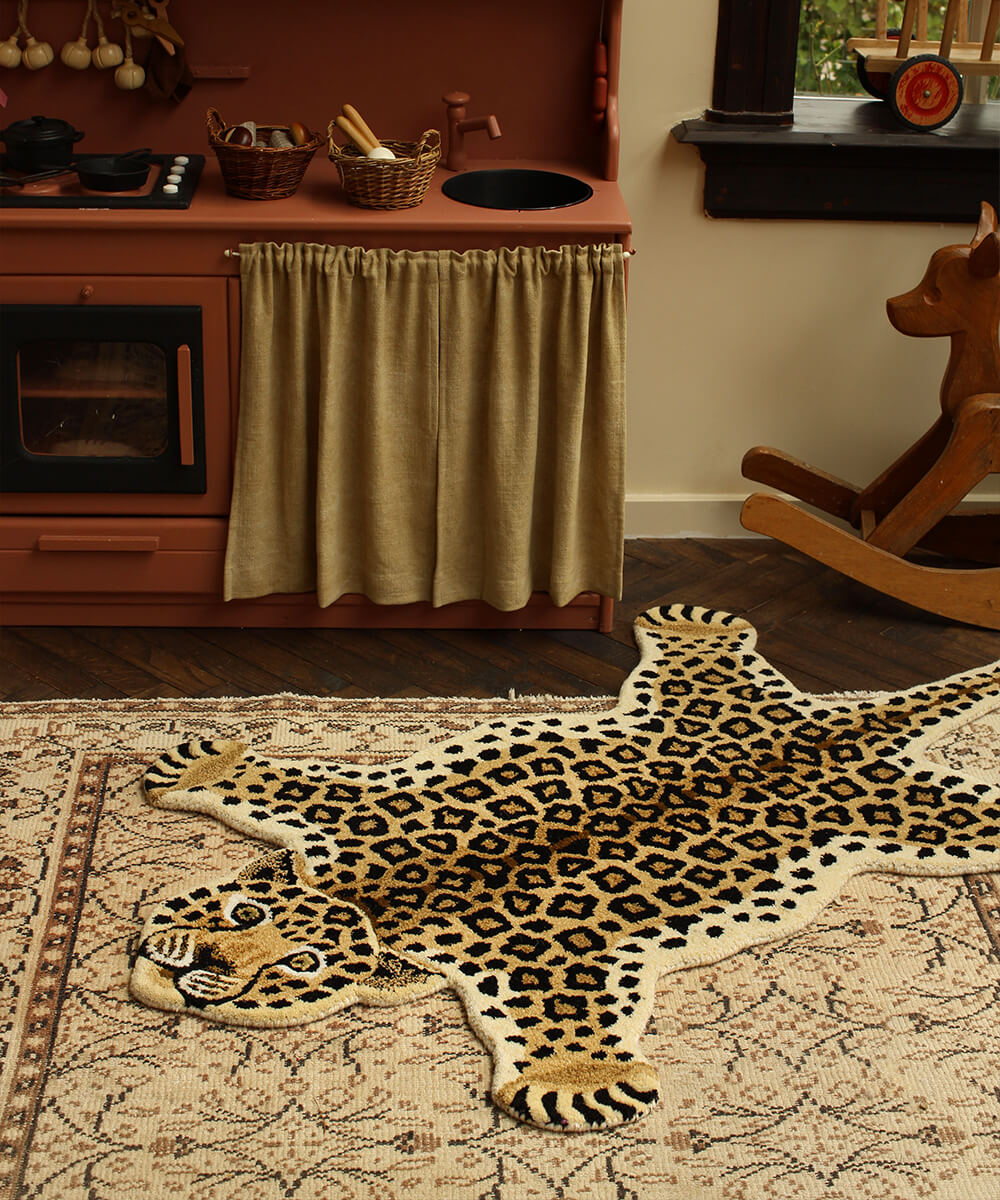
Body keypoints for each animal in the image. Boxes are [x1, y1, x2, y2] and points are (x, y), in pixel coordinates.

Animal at [130, 604, 1000, 1132]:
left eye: (302, 965)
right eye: (243, 916)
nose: (209, 965)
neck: (382, 895)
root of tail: (841, 724)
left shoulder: (546, 960)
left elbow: (558, 1017)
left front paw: (580, 1080)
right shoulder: (348, 813)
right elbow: (282, 782)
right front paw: (200, 767)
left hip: (910, 822)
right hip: (698, 705)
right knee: (710, 664)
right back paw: (696, 627)